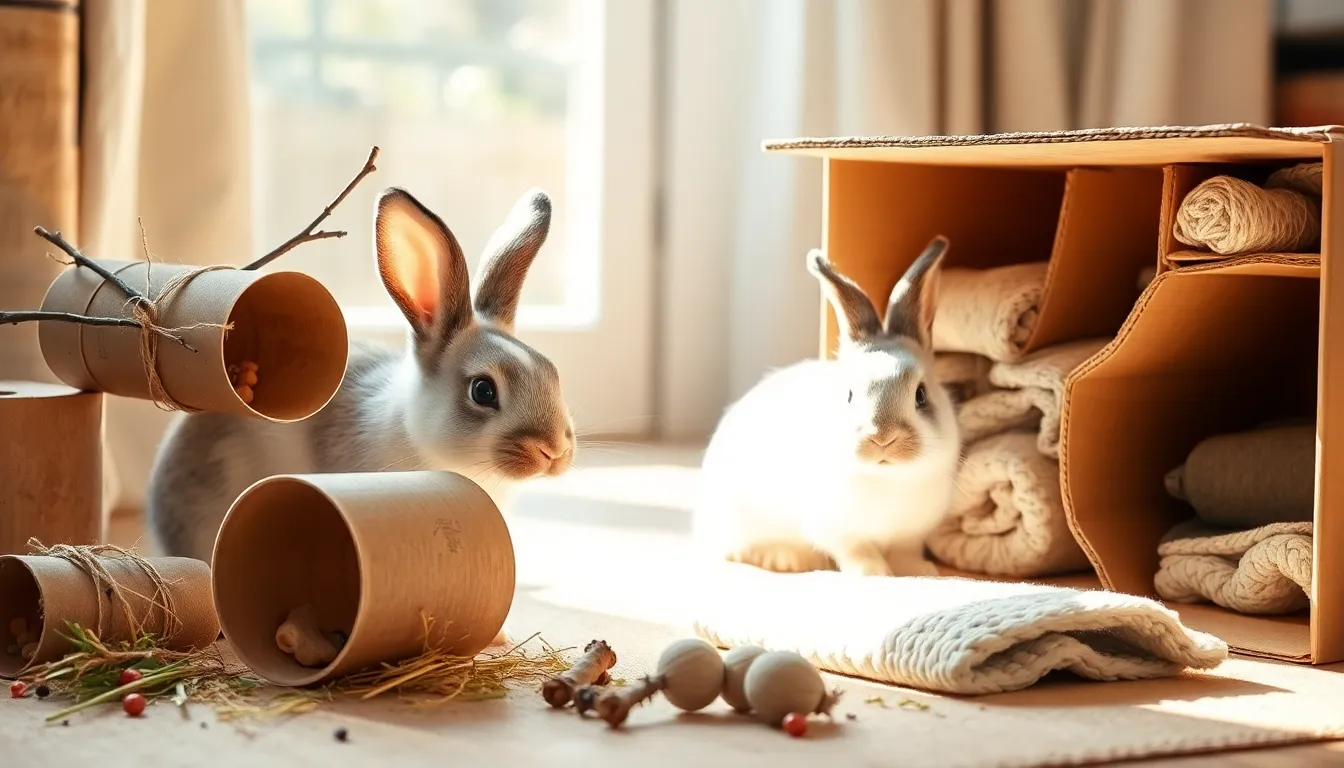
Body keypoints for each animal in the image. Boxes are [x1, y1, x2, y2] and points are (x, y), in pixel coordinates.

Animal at [692, 236, 961, 578]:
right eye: (848, 395)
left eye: (921, 396)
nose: (882, 438)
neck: (885, 479)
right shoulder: (838, 530)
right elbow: (858, 550)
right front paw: (874, 573)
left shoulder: (911, 535)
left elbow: (904, 552)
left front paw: (920, 571)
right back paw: (785, 558)